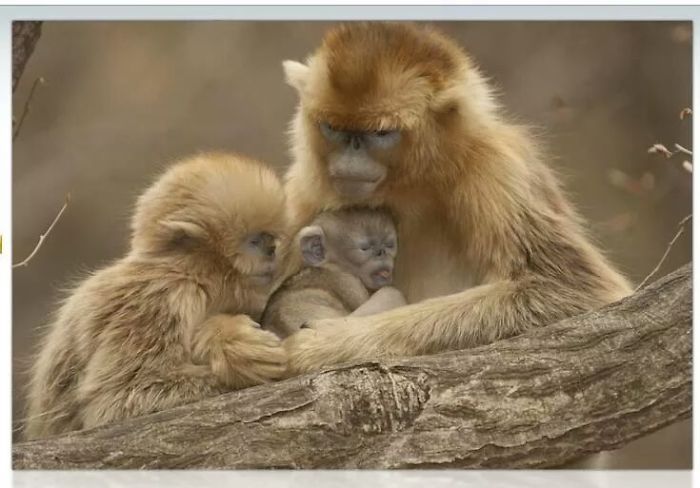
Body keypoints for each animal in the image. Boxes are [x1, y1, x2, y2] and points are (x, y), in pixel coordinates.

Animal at [23, 152, 289, 440]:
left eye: (269, 239)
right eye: (255, 241)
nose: (272, 250)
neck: (185, 273)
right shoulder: (159, 300)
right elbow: (115, 403)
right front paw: (234, 357)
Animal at [278, 22, 633, 375]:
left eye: (380, 133)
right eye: (332, 128)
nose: (351, 153)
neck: (411, 185)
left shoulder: (495, 168)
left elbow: (574, 291)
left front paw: (324, 345)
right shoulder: (307, 188)